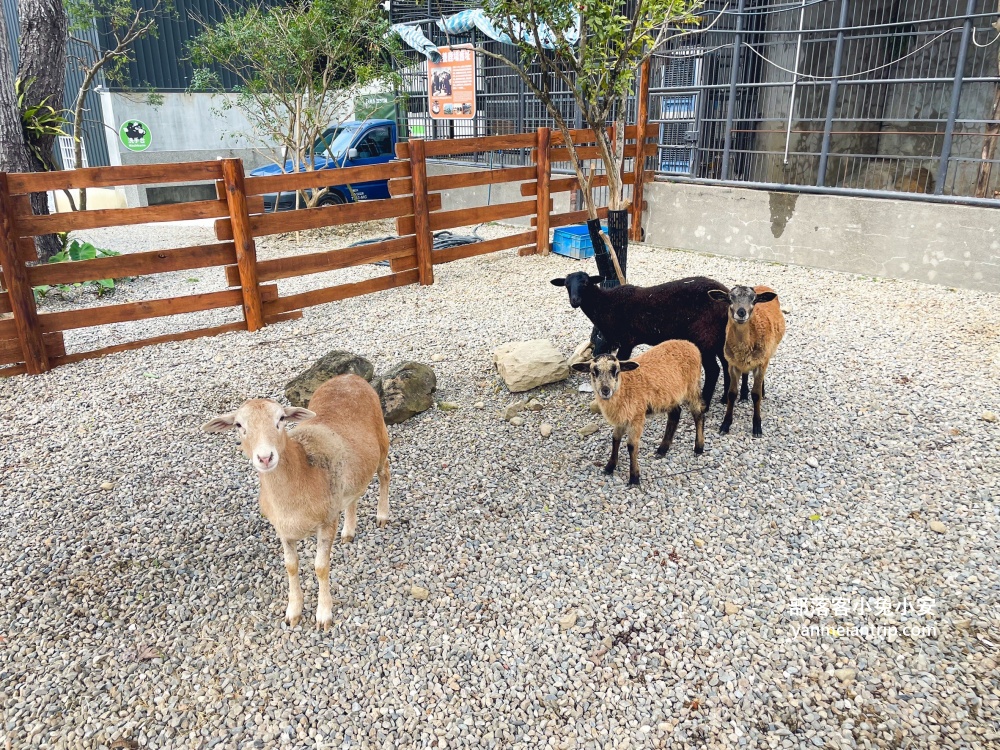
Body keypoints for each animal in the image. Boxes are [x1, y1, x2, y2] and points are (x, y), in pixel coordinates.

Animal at [204, 374, 390, 628]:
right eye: (239, 425)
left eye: (281, 418)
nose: (265, 457)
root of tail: (349, 376)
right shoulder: (283, 528)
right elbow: (291, 566)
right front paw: (293, 611)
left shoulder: (327, 521)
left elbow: (321, 567)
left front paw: (323, 614)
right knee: (354, 495)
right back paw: (349, 531)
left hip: (382, 440)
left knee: (385, 475)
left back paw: (382, 515)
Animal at [552, 272, 740, 408]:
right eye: (566, 285)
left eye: (585, 283)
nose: (574, 301)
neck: (605, 304)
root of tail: (726, 297)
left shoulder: (626, 340)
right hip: (720, 336)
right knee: (726, 364)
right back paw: (724, 399)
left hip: (705, 336)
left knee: (714, 370)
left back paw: (705, 404)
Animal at [576, 342, 708, 488]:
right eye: (594, 372)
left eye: (616, 371)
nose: (605, 390)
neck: (624, 388)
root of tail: (690, 345)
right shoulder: (622, 418)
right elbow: (615, 439)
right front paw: (609, 467)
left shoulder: (637, 417)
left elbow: (631, 445)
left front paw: (634, 478)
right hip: (669, 395)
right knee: (675, 414)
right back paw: (662, 449)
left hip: (692, 386)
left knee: (698, 413)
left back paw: (699, 448)